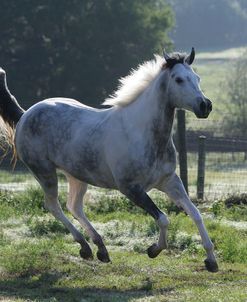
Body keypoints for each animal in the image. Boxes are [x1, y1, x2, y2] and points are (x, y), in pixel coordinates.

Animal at [0, 49, 218, 272]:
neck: (142, 133)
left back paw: (100, 249)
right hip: (45, 172)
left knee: (74, 206)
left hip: (76, 175)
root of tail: (25, 115)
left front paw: (211, 261)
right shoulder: (131, 188)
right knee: (54, 206)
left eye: (197, 78)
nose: (205, 106)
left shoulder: (169, 181)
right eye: (179, 79)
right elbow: (164, 219)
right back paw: (85, 246)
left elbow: (195, 213)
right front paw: (153, 250)